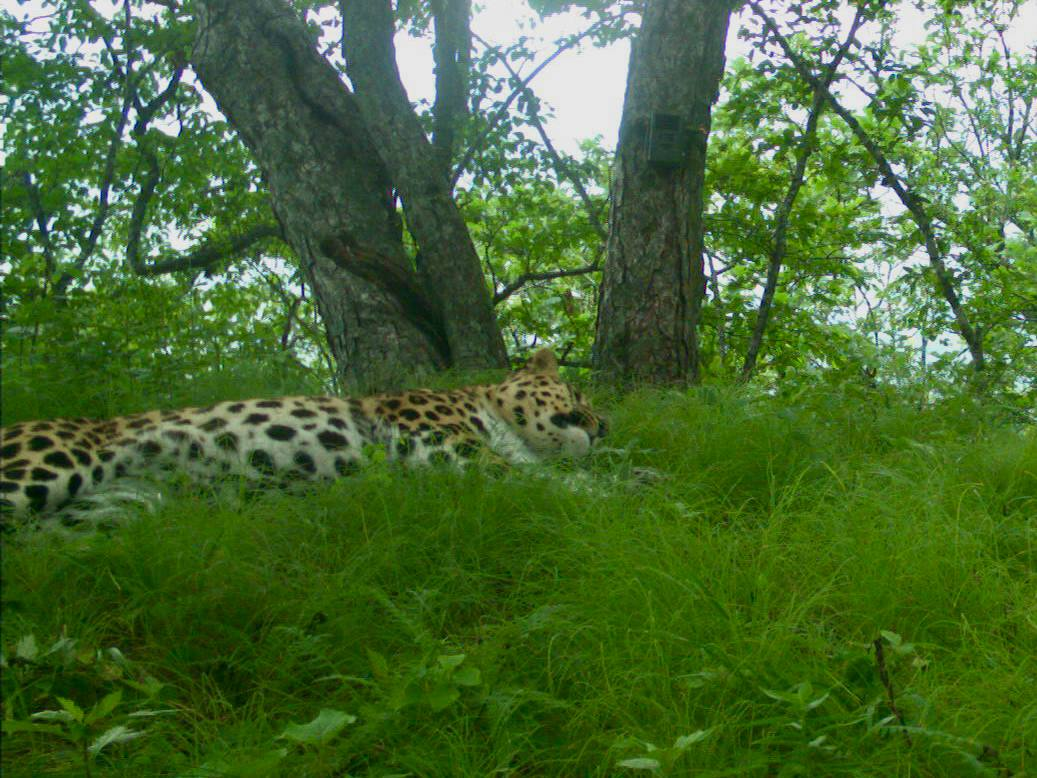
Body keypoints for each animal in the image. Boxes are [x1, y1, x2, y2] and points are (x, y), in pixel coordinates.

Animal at [0, 350, 605, 526]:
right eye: (579, 390)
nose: (606, 426)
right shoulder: (440, 440)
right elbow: (553, 484)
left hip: (105, 515)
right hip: (48, 466)